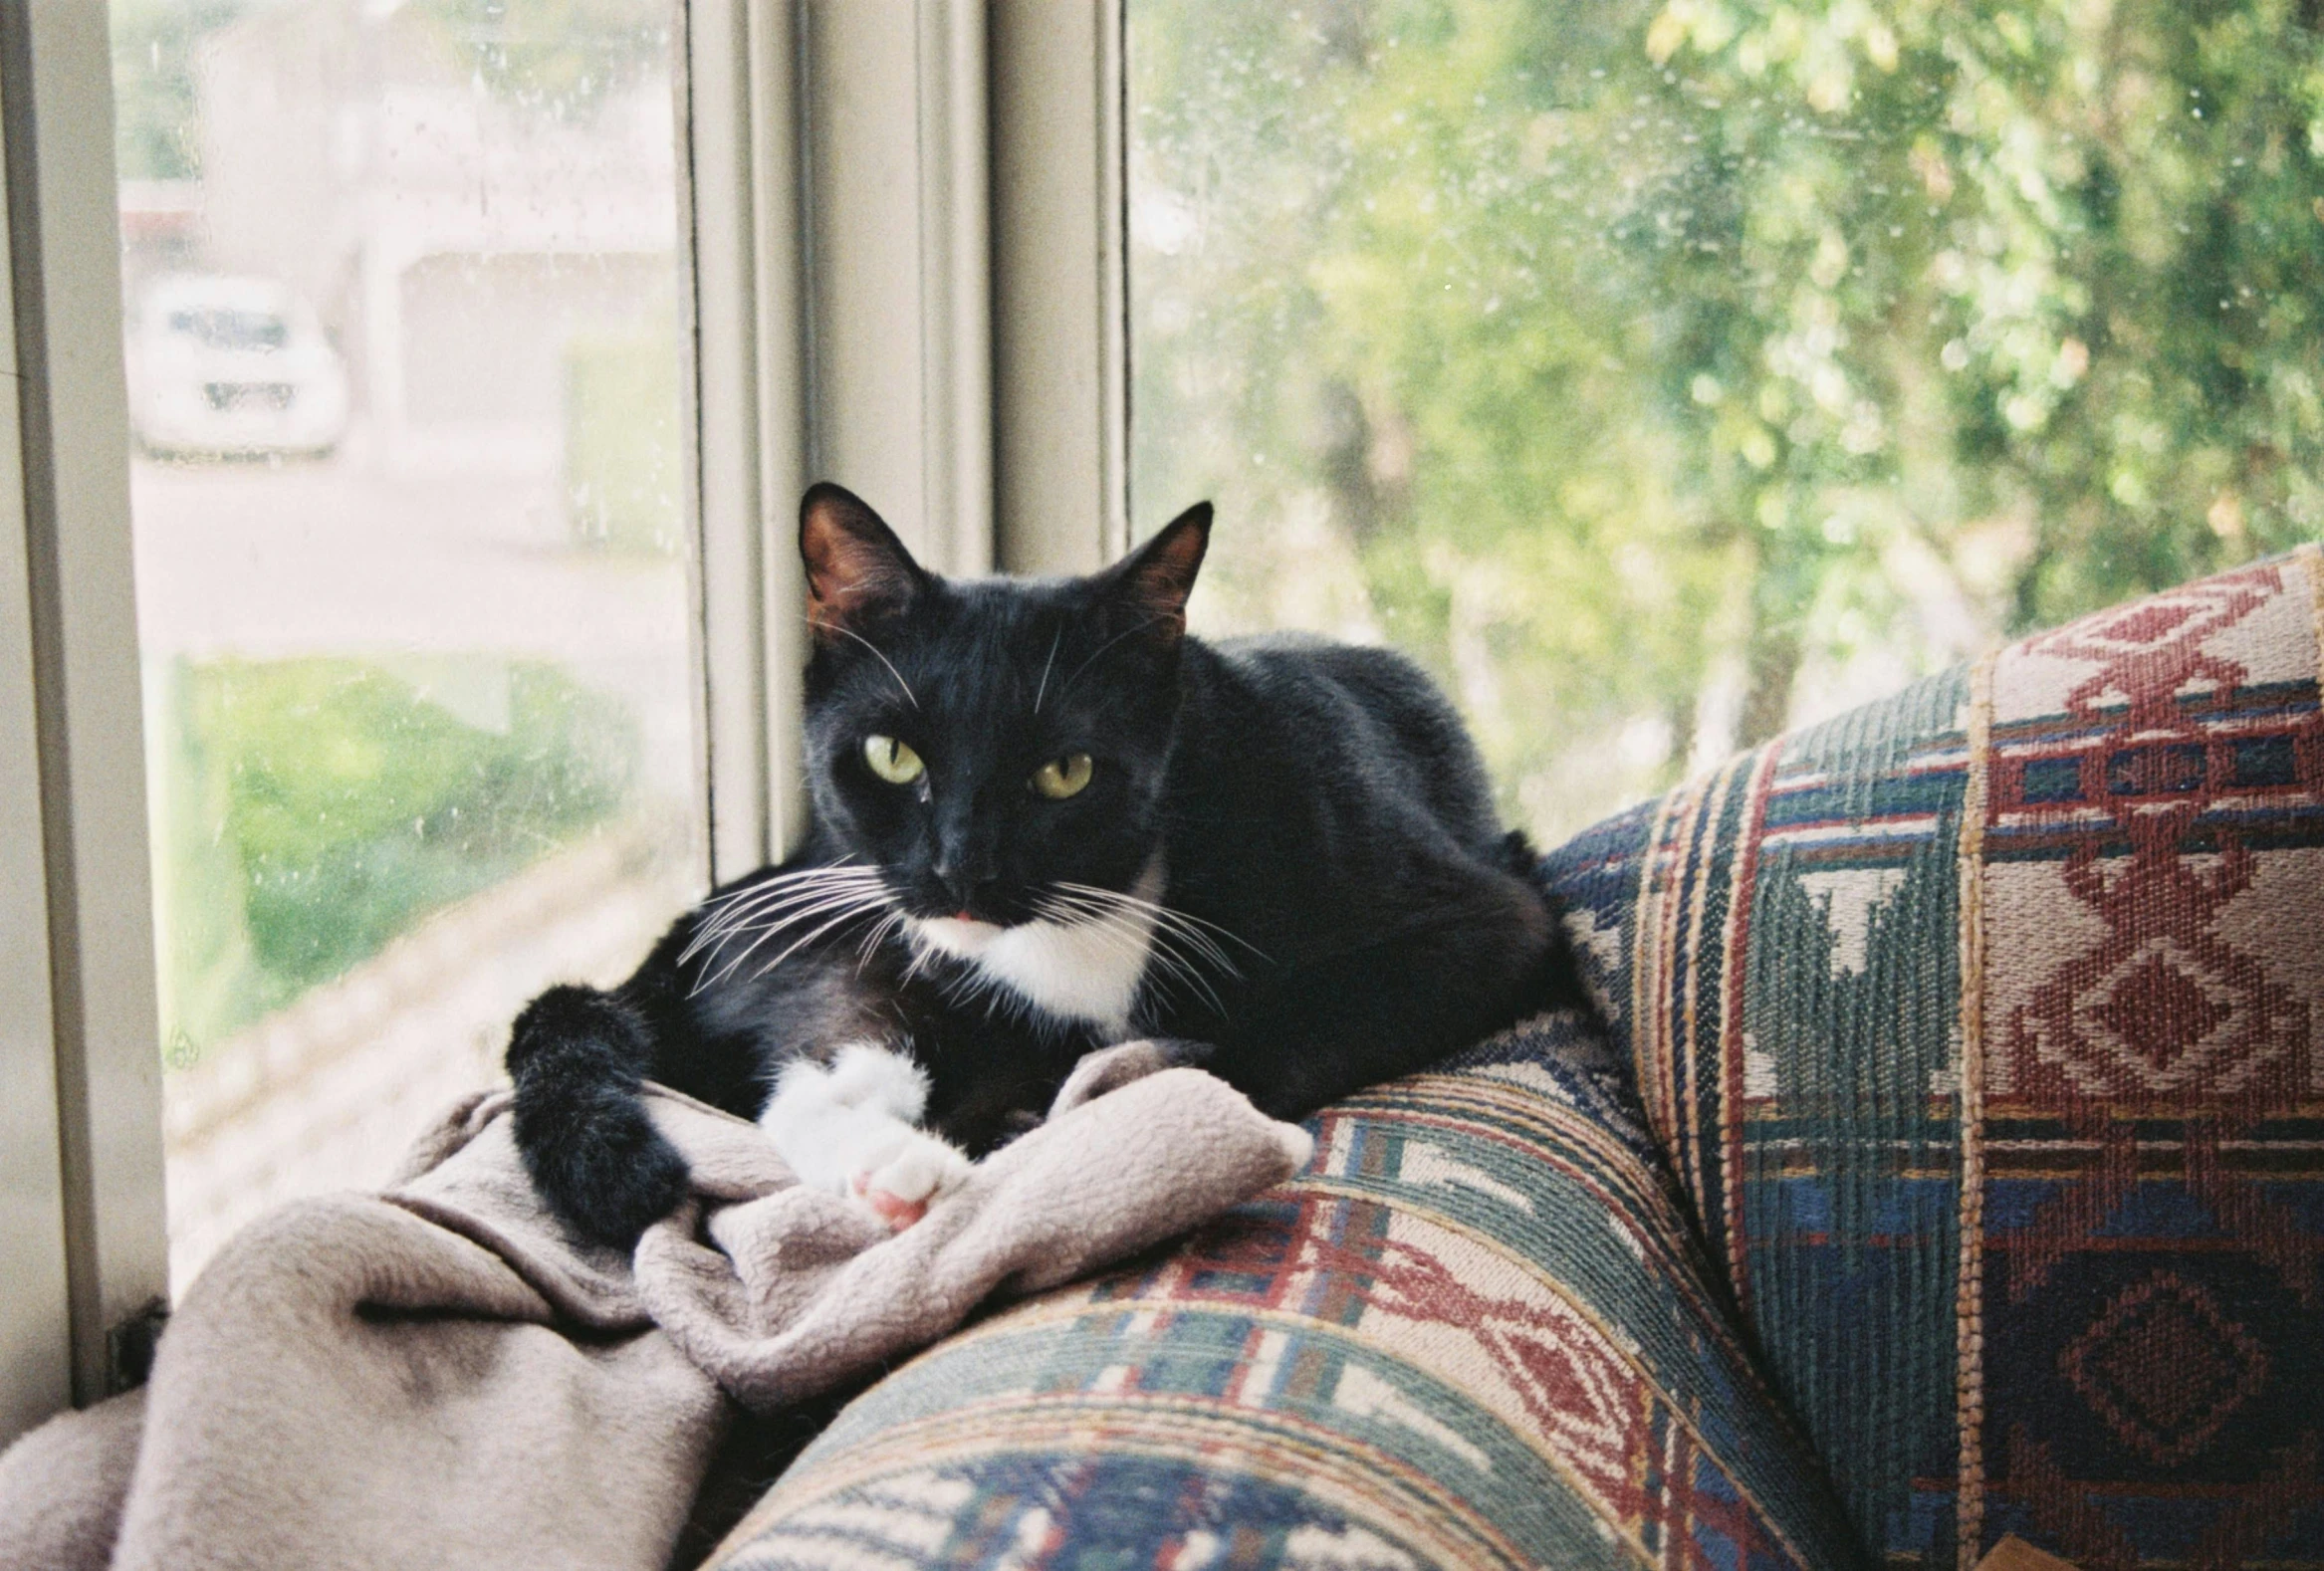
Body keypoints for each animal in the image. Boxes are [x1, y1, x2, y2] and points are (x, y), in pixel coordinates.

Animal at [509, 485, 1561, 1245]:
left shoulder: (1479, 918)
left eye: (1066, 771)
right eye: (894, 756)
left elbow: (1273, 1043)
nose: (961, 869)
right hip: (843, 928)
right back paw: (897, 1172)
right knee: (816, 1068)